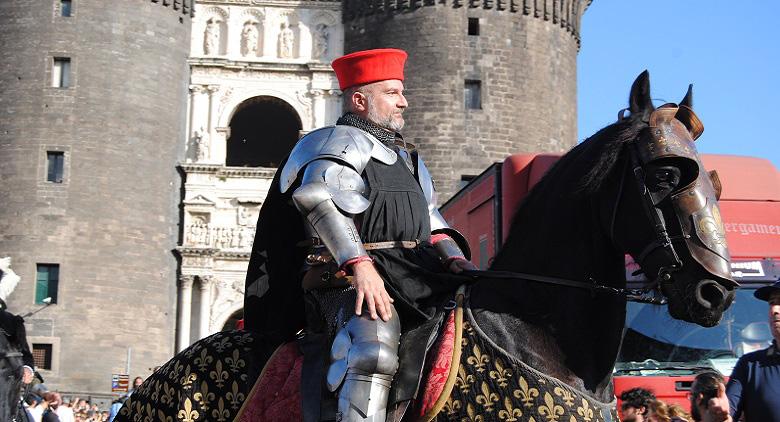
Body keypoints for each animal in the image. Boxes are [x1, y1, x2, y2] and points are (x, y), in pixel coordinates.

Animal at [116, 71, 732, 420]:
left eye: (714, 183)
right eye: (663, 176)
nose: (715, 292)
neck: (533, 336)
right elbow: (317, 193)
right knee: (370, 356)